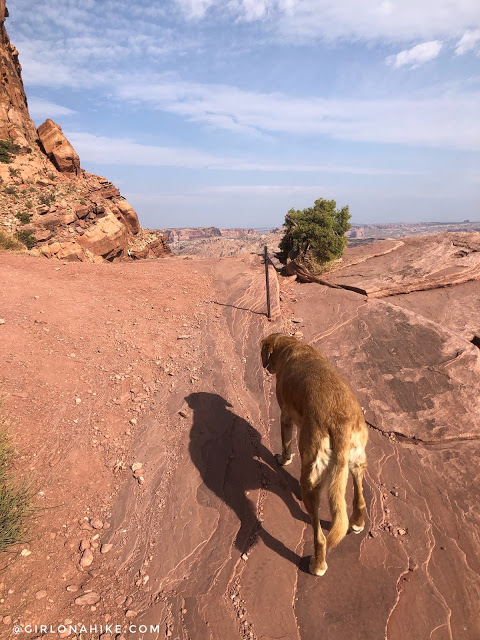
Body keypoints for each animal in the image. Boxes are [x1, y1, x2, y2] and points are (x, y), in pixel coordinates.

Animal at [262, 332, 368, 576]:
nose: (266, 368)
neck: (291, 347)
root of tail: (340, 425)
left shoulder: (285, 415)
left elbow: (286, 444)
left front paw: (283, 459)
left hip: (310, 480)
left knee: (320, 537)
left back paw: (317, 565)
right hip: (357, 462)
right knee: (360, 499)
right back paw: (357, 523)